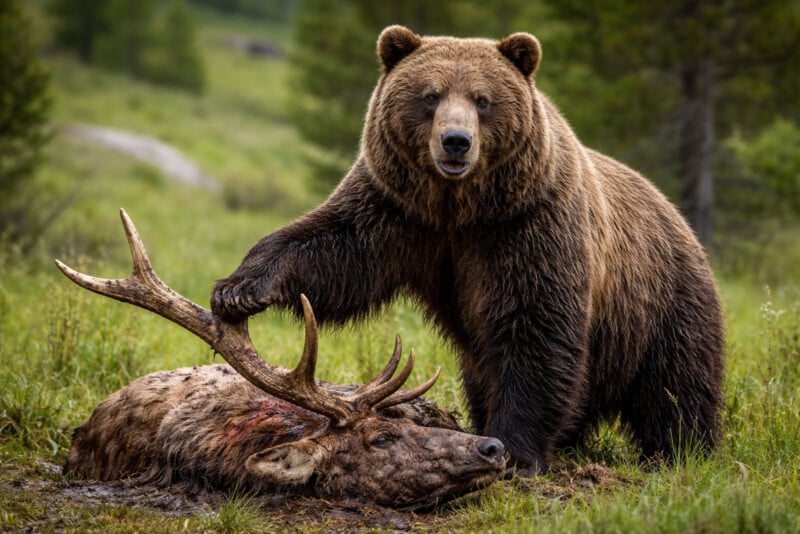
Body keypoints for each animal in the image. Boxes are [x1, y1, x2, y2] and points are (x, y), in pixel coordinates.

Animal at [211, 26, 725, 474]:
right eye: (430, 95)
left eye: (483, 99)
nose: (456, 141)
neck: (460, 207)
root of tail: (677, 215)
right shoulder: (397, 211)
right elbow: (334, 251)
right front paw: (237, 289)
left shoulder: (527, 226)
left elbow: (534, 327)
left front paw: (515, 450)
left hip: (660, 305)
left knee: (676, 389)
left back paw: (680, 452)